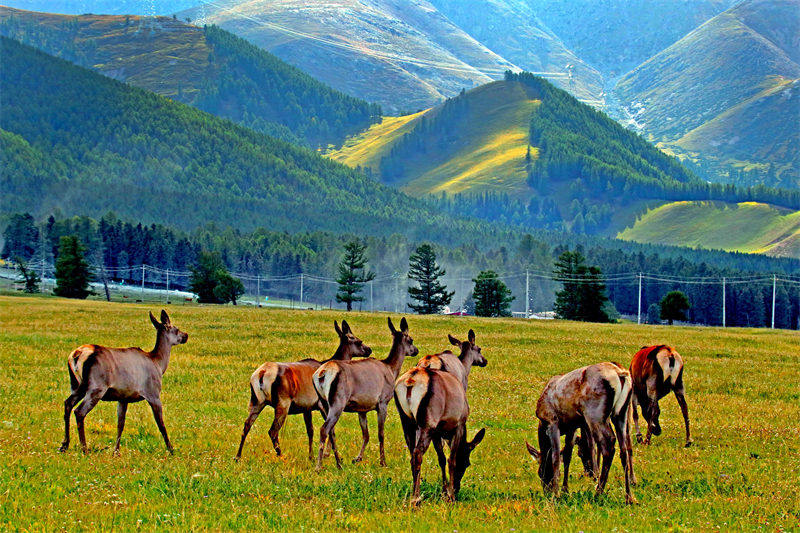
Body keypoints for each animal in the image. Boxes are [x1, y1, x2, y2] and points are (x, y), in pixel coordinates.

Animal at [58, 310, 188, 456]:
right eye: (176, 329)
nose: (186, 335)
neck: (159, 364)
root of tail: (76, 354)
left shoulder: (123, 397)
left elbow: (120, 424)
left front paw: (116, 451)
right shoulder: (153, 394)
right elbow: (161, 424)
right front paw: (171, 450)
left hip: (76, 385)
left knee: (67, 403)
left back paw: (64, 445)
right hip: (96, 387)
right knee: (79, 411)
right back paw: (84, 448)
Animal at [234, 320, 372, 462]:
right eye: (358, 340)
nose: (369, 349)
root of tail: (262, 373)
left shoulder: (307, 407)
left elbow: (310, 430)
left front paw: (311, 456)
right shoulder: (322, 404)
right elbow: (330, 429)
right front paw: (328, 455)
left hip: (256, 401)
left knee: (246, 425)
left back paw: (238, 456)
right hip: (283, 402)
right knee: (272, 431)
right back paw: (281, 455)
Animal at [310, 318, 416, 468]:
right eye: (411, 340)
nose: (416, 350)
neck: (391, 370)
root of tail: (321, 374)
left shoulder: (362, 408)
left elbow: (366, 435)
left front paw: (357, 458)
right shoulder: (383, 402)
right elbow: (380, 433)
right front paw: (383, 461)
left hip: (324, 402)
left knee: (331, 431)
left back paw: (338, 463)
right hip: (337, 401)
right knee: (324, 429)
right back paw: (319, 466)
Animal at [392, 366, 484, 502]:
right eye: (467, 463)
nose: (457, 488)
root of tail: (411, 381)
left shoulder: (436, 432)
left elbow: (442, 459)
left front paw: (444, 491)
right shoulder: (458, 426)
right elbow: (451, 460)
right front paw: (450, 496)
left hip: (406, 421)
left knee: (412, 455)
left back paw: (414, 494)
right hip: (428, 421)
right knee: (418, 453)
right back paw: (416, 498)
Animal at [524, 362, 636, 502]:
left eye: (540, 472)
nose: (547, 492)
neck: (542, 424)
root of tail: (620, 373)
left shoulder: (552, 421)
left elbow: (556, 457)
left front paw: (556, 494)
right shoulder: (572, 426)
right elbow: (567, 456)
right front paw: (565, 490)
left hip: (595, 414)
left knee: (608, 444)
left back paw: (598, 493)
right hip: (621, 413)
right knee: (624, 449)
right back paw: (629, 497)